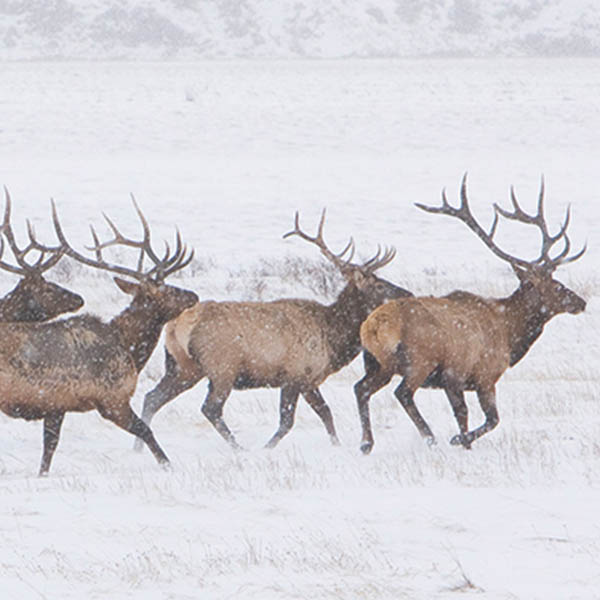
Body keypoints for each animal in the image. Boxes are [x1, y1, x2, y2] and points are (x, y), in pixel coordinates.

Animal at [134, 211, 410, 450]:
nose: (406, 293)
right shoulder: (294, 374)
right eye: (378, 284)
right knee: (210, 408)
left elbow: (325, 414)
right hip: (222, 367)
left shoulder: (309, 380)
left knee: (152, 398)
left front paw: (337, 445)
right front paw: (267, 448)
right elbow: (288, 422)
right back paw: (239, 448)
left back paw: (138, 447)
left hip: (183, 367)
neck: (332, 339)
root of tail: (176, 326)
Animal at [356, 176, 584, 452]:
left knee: (361, 388)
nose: (581, 302)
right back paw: (430, 438)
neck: (509, 333)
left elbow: (463, 416)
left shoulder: (455, 382)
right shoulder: (479, 376)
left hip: (376, 362)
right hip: (419, 360)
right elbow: (489, 419)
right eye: (557, 285)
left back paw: (366, 443)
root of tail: (374, 325)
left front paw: (464, 443)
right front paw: (459, 440)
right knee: (402, 393)